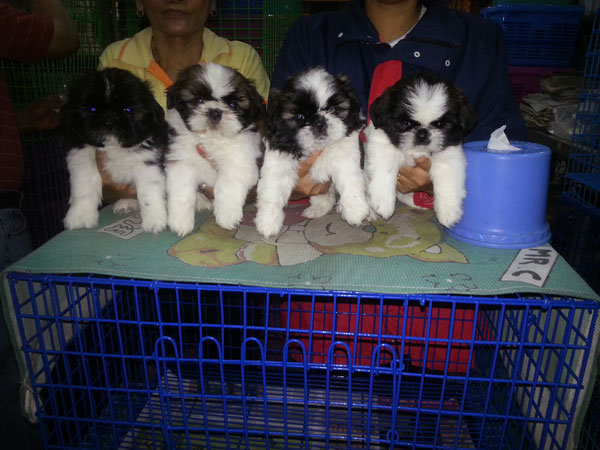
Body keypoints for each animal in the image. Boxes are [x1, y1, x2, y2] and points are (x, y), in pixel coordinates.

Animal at [62, 68, 168, 233]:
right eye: (92, 109)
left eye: (128, 110)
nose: (109, 120)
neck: (114, 147)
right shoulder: (81, 156)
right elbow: (83, 186)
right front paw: (80, 216)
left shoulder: (147, 162)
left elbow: (149, 191)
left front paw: (155, 220)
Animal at [165, 62, 265, 237]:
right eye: (198, 100)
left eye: (233, 105)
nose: (215, 111)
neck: (211, 139)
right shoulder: (180, 161)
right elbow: (182, 190)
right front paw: (180, 221)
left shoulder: (241, 161)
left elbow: (227, 184)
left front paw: (227, 215)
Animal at [255, 67, 370, 238]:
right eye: (300, 116)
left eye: (333, 109)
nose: (319, 122)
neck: (315, 147)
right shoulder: (278, 158)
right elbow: (271, 191)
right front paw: (267, 222)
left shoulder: (346, 145)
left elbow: (348, 176)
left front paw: (355, 209)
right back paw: (318, 208)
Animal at [364, 72, 476, 228]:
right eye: (406, 123)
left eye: (440, 124)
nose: (422, 133)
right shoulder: (382, 144)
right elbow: (386, 169)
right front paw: (383, 202)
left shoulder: (450, 154)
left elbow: (447, 180)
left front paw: (448, 212)